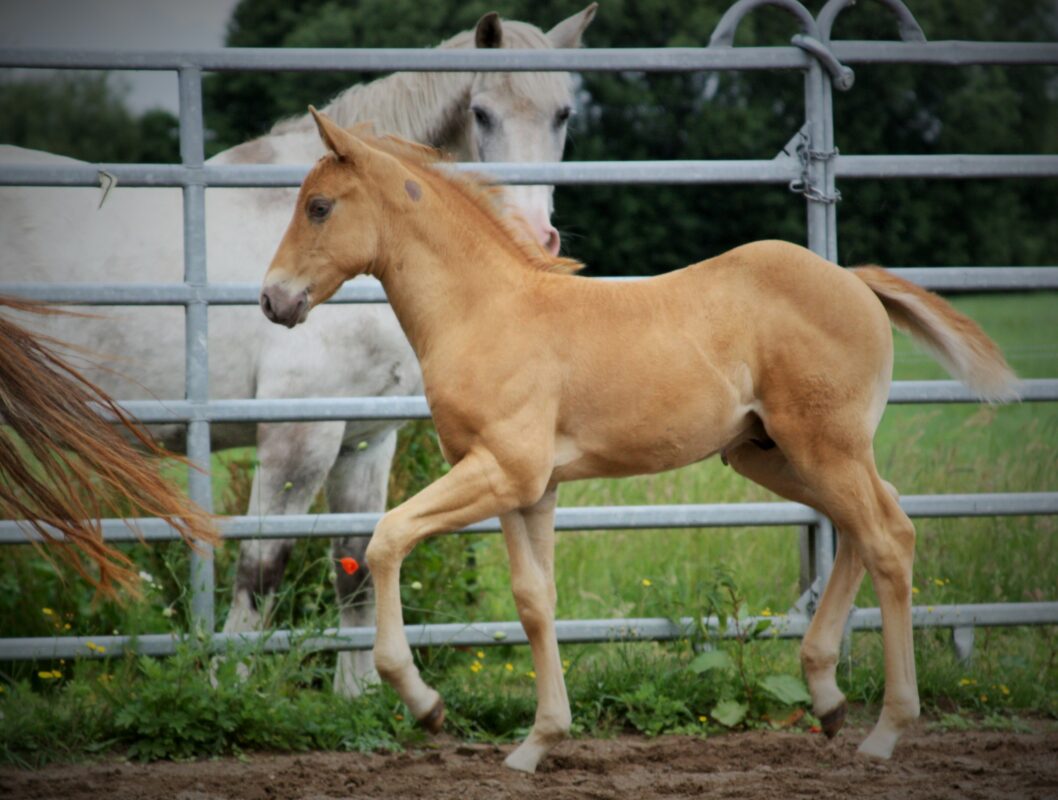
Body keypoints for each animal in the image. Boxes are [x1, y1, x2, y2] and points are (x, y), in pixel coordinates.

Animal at [259, 110, 1019, 772]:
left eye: (319, 206)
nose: (273, 300)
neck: (485, 311)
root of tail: (853, 280)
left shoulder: (504, 469)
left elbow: (387, 538)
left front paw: (426, 705)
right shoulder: (527, 488)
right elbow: (534, 600)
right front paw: (537, 743)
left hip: (823, 448)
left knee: (889, 536)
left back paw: (885, 730)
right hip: (772, 454)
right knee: (867, 522)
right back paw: (828, 700)